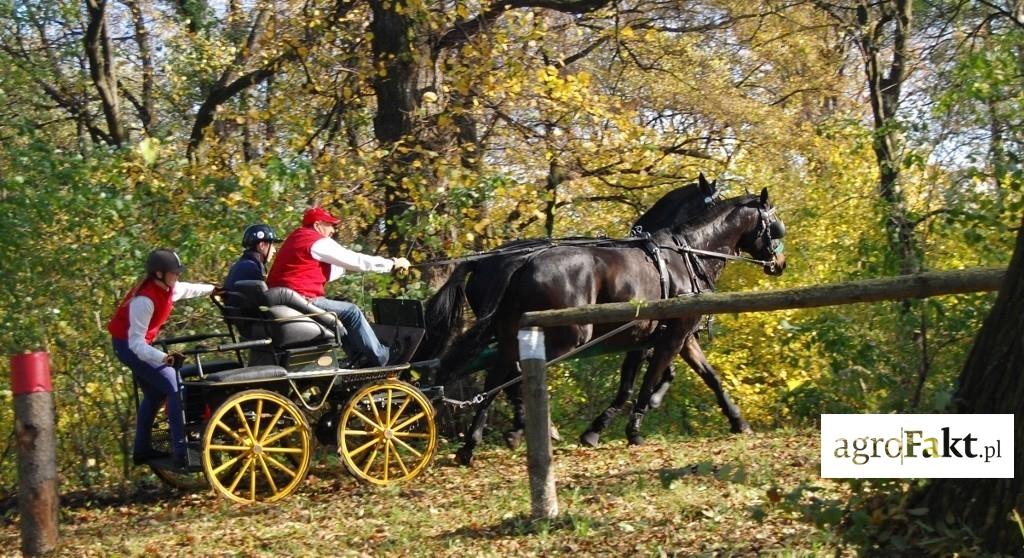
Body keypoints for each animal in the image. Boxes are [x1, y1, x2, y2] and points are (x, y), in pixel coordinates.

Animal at [428, 189, 786, 462]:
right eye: (774, 224)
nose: (780, 263)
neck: (681, 256)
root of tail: (523, 261)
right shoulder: (673, 336)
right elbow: (649, 381)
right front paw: (635, 429)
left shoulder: (661, 337)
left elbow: (706, 378)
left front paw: (738, 421)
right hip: (566, 336)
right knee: (514, 374)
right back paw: (523, 431)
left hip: (509, 333)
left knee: (499, 375)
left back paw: (472, 445)